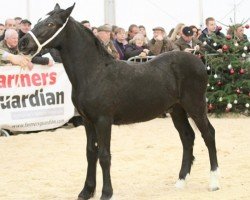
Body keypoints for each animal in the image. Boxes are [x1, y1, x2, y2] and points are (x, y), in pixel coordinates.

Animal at [18, 3, 220, 200]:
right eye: (39, 20)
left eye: (51, 24)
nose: (22, 43)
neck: (94, 72)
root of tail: (198, 60)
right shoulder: (87, 121)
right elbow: (90, 152)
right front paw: (86, 191)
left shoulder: (103, 120)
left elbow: (104, 155)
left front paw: (106, 193)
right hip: (176, 109)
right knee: (187, 137)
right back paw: (180, 181)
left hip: (196, 107)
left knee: (208, 134)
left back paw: (213, 183)